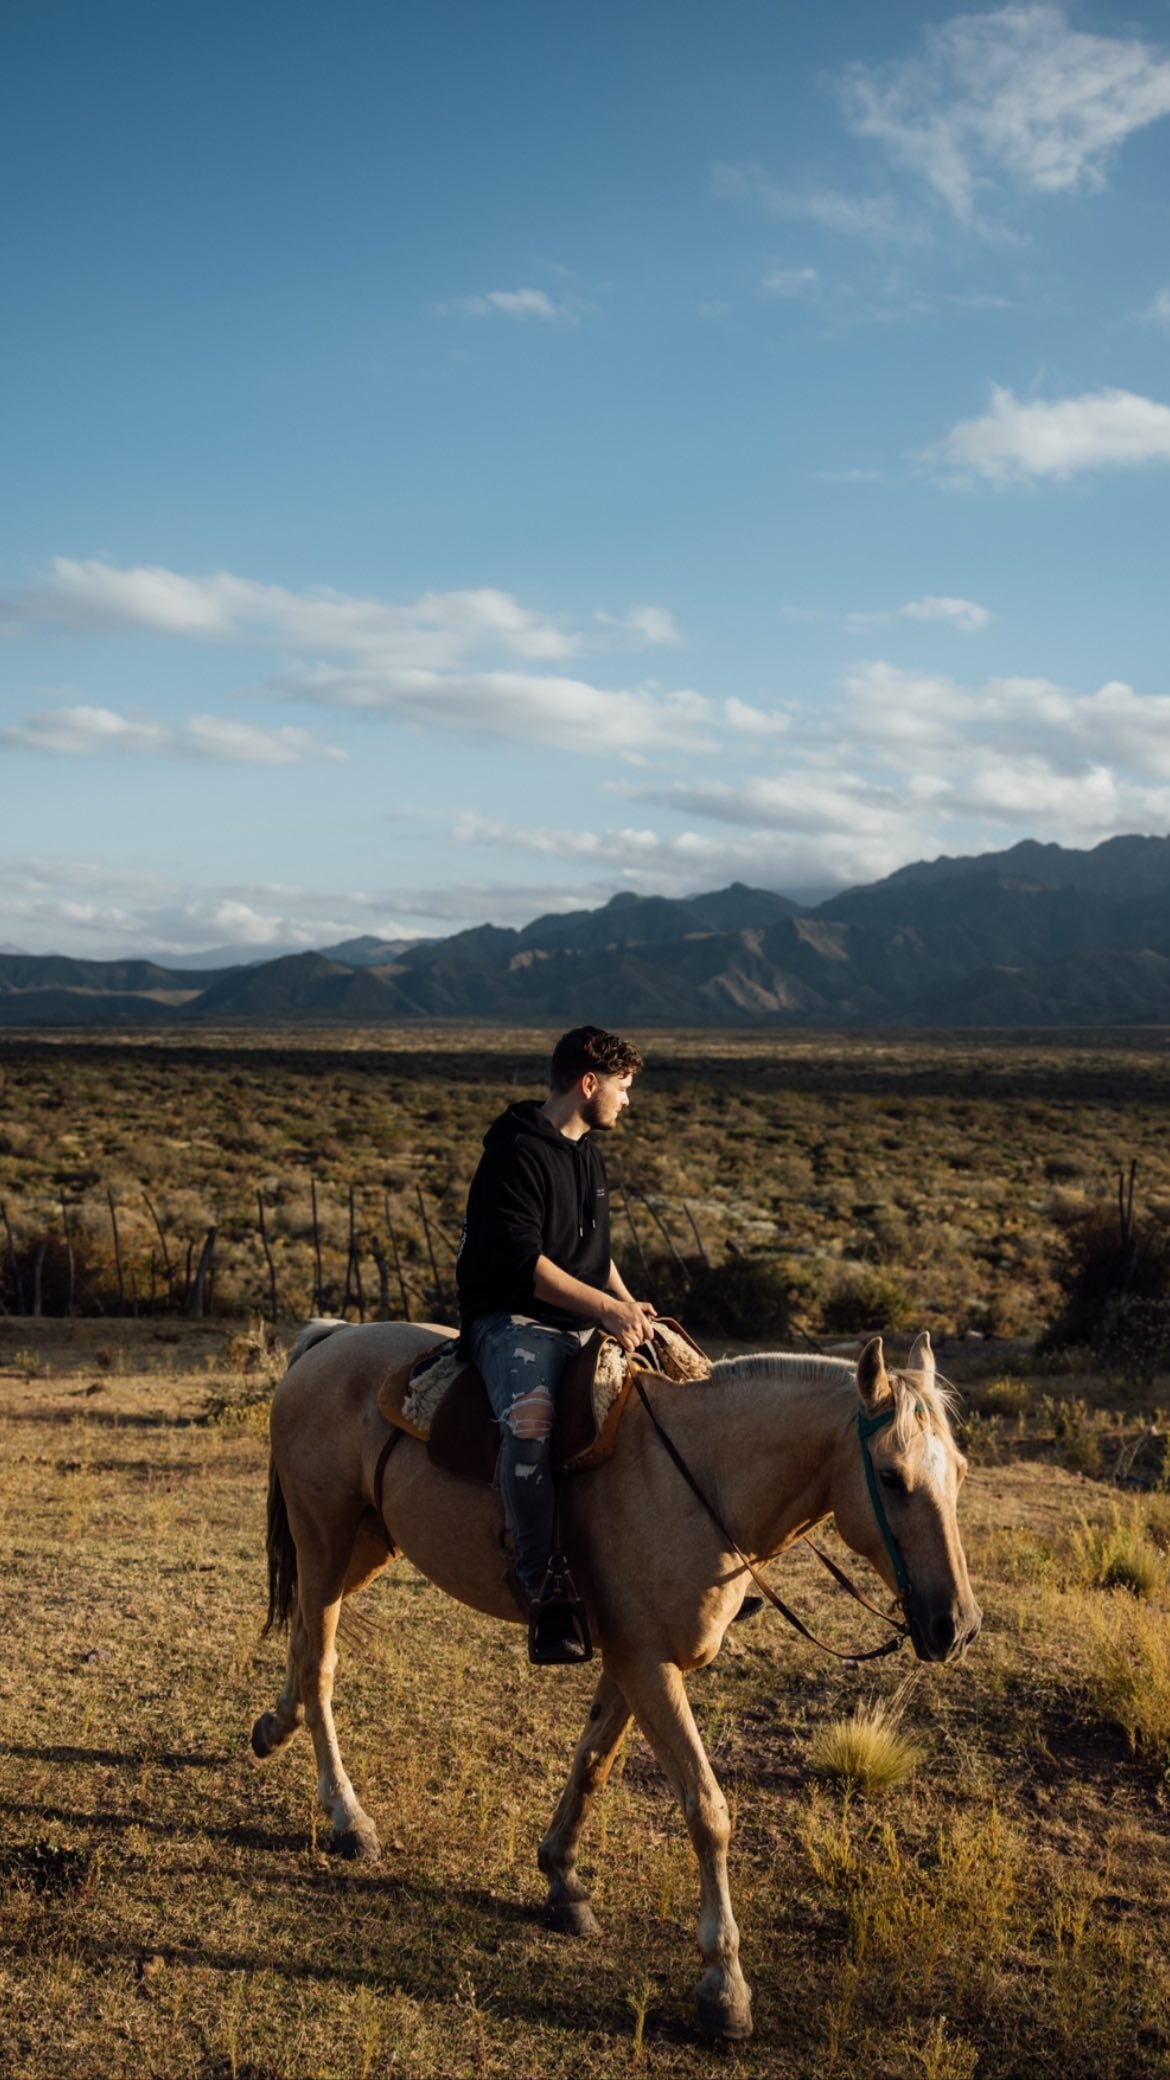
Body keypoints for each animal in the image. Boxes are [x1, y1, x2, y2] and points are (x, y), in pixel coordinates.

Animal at [252, 1322, 974, 2038]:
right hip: (325, 1537)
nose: (957, 1626)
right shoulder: (649, 1664)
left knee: (304, 1640)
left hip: (366, 1546)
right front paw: (724, 1986)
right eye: (892, 1477)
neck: (702, 1478)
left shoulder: (633, 1660)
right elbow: (707, 1809)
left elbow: (592, 1762)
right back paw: (348, 1818)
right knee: (320, 1664)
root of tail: (329, 1337)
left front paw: (562, 1882)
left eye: (962, 1473)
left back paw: (273, 1729)